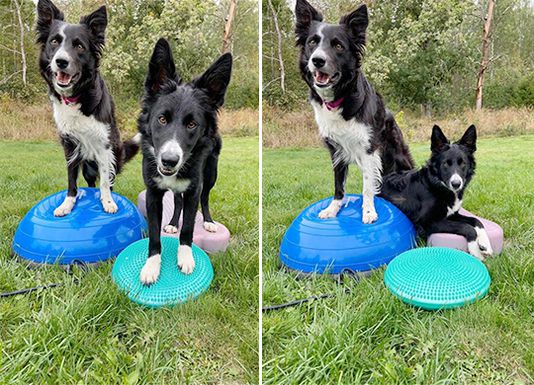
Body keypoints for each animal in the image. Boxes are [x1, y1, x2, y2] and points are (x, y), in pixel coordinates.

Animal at [35, 0, 140, 214]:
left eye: (79, 46)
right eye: (54, 42)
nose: (61, 61)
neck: (77, 96)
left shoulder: (104, 145)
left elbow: (105, 182)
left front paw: (107, 201)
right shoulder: (70, 145)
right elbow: (71, 178)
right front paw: (68, 203)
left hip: (114, 153)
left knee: (109, 178)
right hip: (87, 166)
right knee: (91, 181)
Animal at [137, 39, 231, 284]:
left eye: (192, 124)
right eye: (162, 119)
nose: (169, 161)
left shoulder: (193, 189)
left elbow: (188, 227)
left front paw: (186, 257)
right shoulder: (153, 193)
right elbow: (154, 233)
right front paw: (152, 266)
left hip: (211, 174)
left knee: (205, 198)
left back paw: (208, 221)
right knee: (177, 201)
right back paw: (171, 223)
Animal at [296, 0, 416, 222]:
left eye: (338, 46)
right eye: (312, 43)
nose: (317, 60)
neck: (340, 99)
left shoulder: (369, 149)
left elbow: (367, 186)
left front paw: (368, 211)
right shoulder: (336, 150)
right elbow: (338, 185)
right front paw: (333, 209)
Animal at [384, 124, 496, 260]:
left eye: (463, 163)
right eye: (445, 164)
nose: (456, 184)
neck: (436, 185)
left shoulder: (452, 215)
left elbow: (476, 221)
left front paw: (485, 243)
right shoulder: (427, 223)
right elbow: (467, 227)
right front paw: (475, 251)